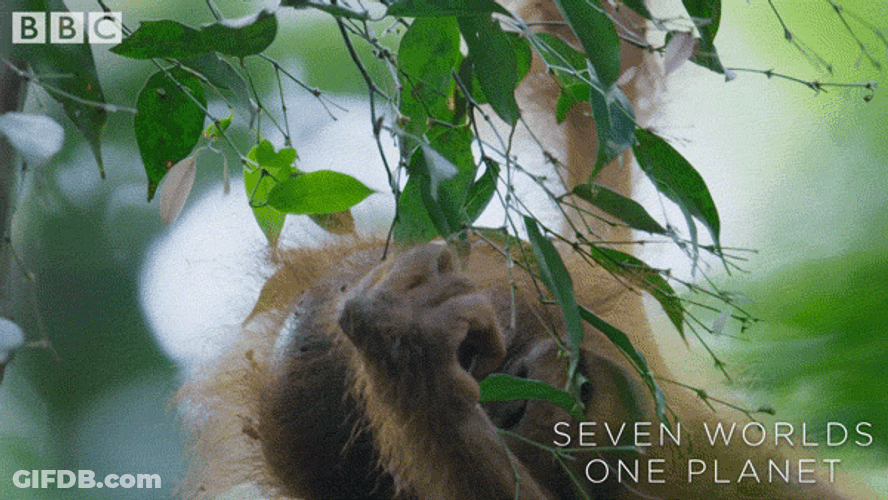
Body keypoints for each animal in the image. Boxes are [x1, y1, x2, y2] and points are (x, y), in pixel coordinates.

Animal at [176, 1, 879, 499]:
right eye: (482, 398)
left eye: (482, 348)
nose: (518, 402)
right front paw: (407, 355)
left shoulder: (589, 279)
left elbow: (593, 104)